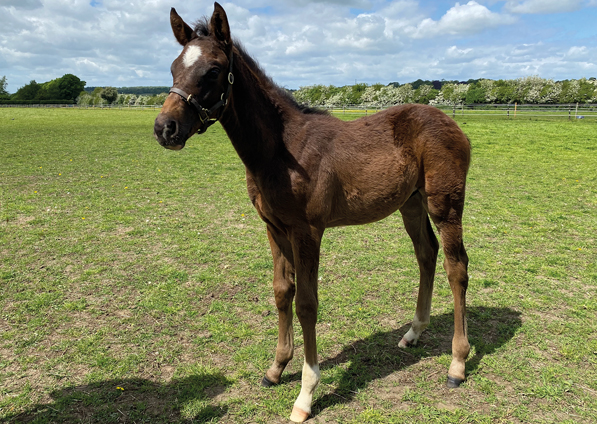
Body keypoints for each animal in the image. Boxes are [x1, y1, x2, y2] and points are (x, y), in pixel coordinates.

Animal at [154, 3, 470, 420]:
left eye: (214, 70)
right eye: (174, 67)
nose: (165, 128)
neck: (280, 151)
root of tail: (453, 124)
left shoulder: (307, 231)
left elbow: (306, 303)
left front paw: (305, 394)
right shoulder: (274, 227)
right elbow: (281, 291)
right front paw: (276, 368)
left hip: (444, 204)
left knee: (456, 266)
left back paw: (458, 364)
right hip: (411, 203)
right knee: (426, 254)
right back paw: (413, 332)